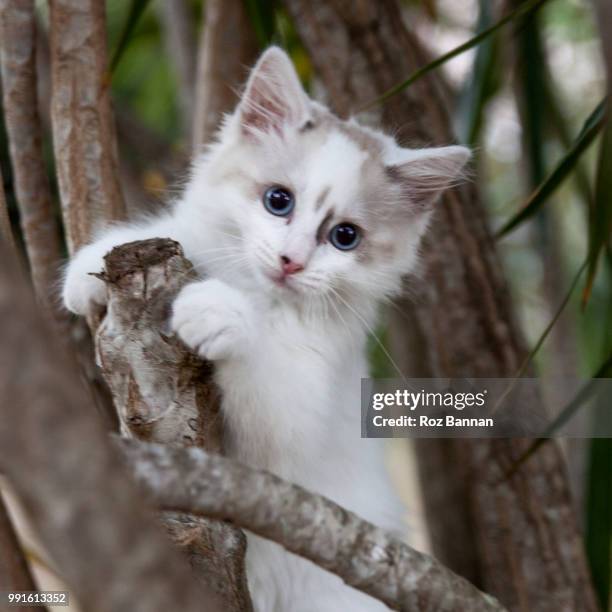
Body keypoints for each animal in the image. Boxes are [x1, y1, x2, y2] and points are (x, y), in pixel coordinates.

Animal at [63, 46, 468, 612]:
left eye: (345, 237)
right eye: (279, 201)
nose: (291, 261)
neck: (254, 291)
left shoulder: (297, 422)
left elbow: (266, 385)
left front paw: (217, 312)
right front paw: (87, 268)